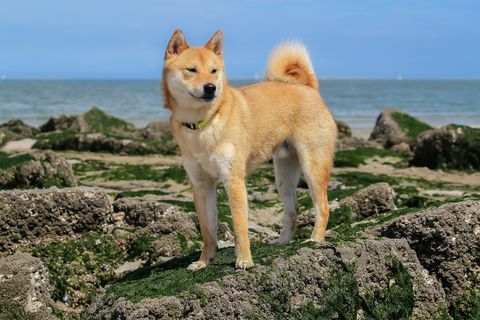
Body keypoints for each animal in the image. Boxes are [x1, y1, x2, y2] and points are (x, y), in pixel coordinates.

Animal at [163, 29, 336, 270]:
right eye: (192, 70)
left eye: (214, 71)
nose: (211, 87)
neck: (203, 124)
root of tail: (308, 87)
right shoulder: (201, 184)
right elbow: (208, 231)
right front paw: (204, 261)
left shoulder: (233, 180)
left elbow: (239, 227)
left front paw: (244, 260)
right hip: (283, 176)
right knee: (292, 210)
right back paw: (282, 241)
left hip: (313, 167)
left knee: (323, 207)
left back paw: (315, 240)